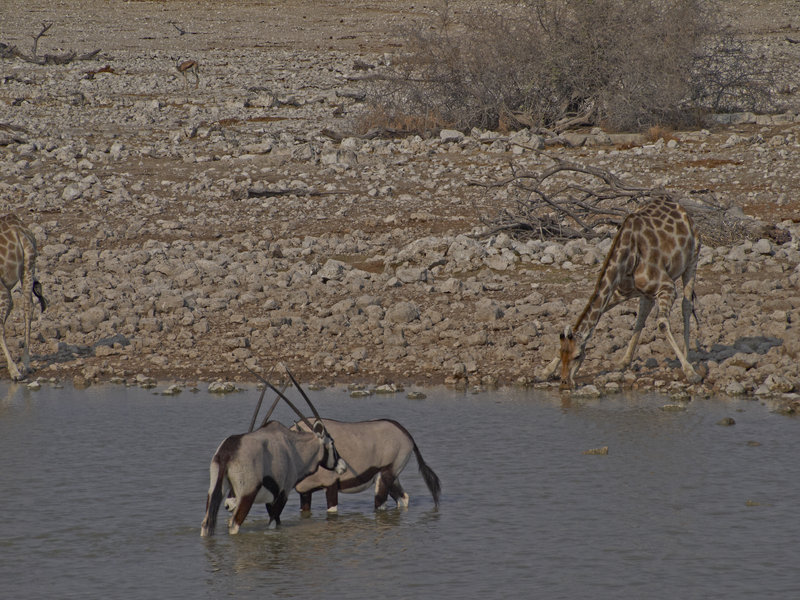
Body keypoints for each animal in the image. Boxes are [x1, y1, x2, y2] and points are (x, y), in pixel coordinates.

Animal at [542, 197, 702, 389]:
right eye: (561, 352)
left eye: (577, 356)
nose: (565, 382)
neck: (628, 255)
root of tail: (682, 209)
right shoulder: (624, 290)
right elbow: (605, 312)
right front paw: (545, 371)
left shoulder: (667, 287)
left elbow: (663, 324)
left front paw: (691, 373)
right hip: (646, 292)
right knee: (643, 313)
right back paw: (624, 361)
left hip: (692, 260)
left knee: (686, 305)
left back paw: (687, 358)